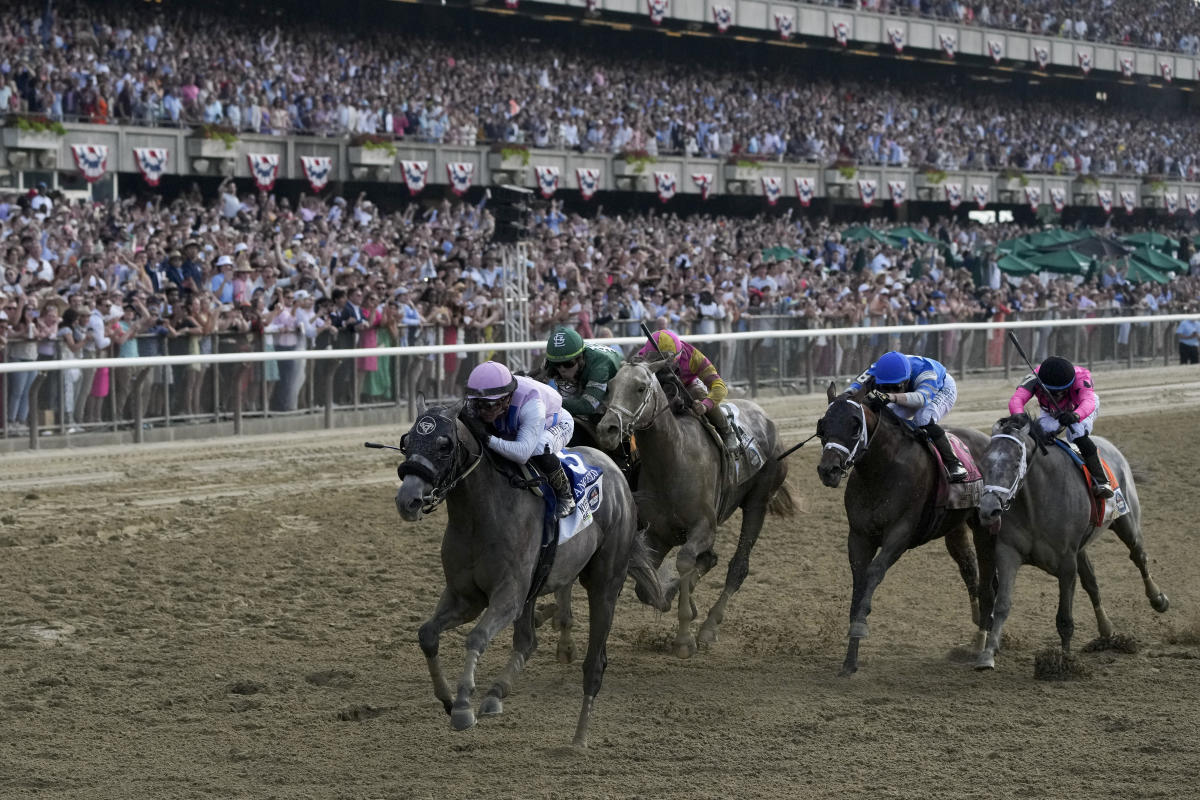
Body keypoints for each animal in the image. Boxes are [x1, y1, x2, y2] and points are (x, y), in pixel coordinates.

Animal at [398, 402, 672, 748]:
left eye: (444, 445)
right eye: (407, 441)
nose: (407, 500)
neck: (480, 515)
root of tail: (617, 474)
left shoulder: (508, 596)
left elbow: (476, 637)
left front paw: (462, 707)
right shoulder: (465, 597)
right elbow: (427, 634)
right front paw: (447, 699)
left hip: (604, 584)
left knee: (594, 663)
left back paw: (579, 738)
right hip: (537, 585)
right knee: (528, 641)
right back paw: (496, 694)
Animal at [592, 362, 796, 657]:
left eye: (640, 387)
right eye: (609, 386)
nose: (607, 429)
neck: (674, 458)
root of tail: (767, 419)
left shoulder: (704, 528)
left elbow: (686, 561)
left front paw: (684, 638)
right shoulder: (657, 534)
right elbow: (646, 588)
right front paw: (671, 595)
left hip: (758, 503)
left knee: (738, 567)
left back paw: (709, 627)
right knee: (711, 561)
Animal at [816, 381, 993, 676]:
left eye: (854, 425)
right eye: (823, 424)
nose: (828, 470)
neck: (881, 469)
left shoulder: (899, 534)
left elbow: (873, 573)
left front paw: (860, 627)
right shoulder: (859, 537)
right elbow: (859, 581)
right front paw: (849, 661)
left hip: (986, 525)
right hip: (955, 527)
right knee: (970, 569)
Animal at [974, 412, 1161, 671]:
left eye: (1014, 463)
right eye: (984, 464)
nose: (988, 510)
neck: (1035, 503)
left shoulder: (1066, 563)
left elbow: (1064, 617)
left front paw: (1063, 661)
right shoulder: (1008, 552)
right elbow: (1002, 604)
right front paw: (988, 653)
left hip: (1126, 522)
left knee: (1138, 556)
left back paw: (1158, 599)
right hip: (1081, 548)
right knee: (1092, 582)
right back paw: (1106, 630)